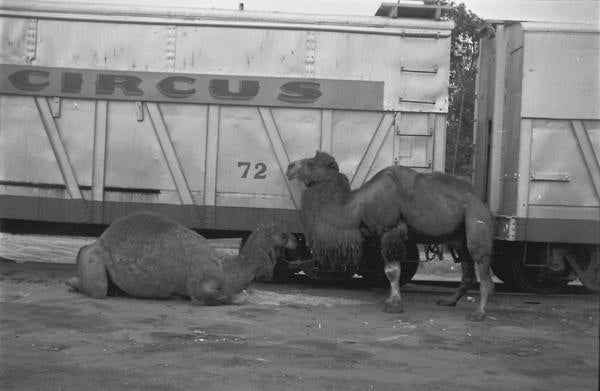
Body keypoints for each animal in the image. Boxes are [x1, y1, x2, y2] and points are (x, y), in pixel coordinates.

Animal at [67, 211, 296, 306]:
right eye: (284, 235)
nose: (296, 239)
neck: (228, 271)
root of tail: (98, 241)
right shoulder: (201, 283)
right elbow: (223, 296)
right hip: (94, 259)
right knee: (98, 289)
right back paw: (72, 283)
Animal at [288, 151, 494, 322]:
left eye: (312, 162)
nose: (290, 166)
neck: (356, 205)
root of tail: (480, 201)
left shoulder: (389, 230)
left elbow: (392, 270)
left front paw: (394, 305)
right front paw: (391, 301)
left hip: (476, 222)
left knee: (483, 268)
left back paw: (478, 314)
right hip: (459, 238)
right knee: (467, 270)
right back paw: (449, 301)